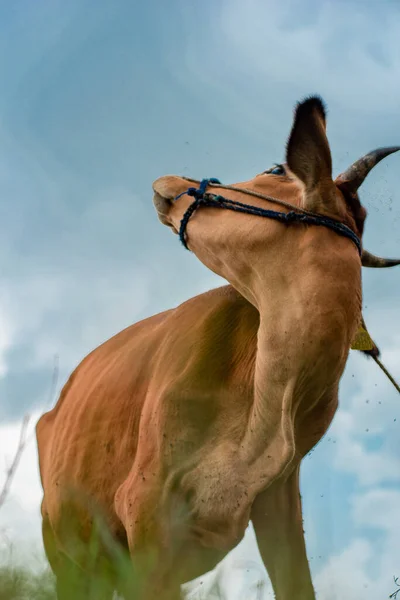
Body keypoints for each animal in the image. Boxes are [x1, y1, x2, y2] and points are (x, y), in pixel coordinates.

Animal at [36, 96, 398, 596]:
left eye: (275, 169)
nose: (173, 180)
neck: (270, 397)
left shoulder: (278, 500)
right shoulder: (144, 506)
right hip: (66, 550)